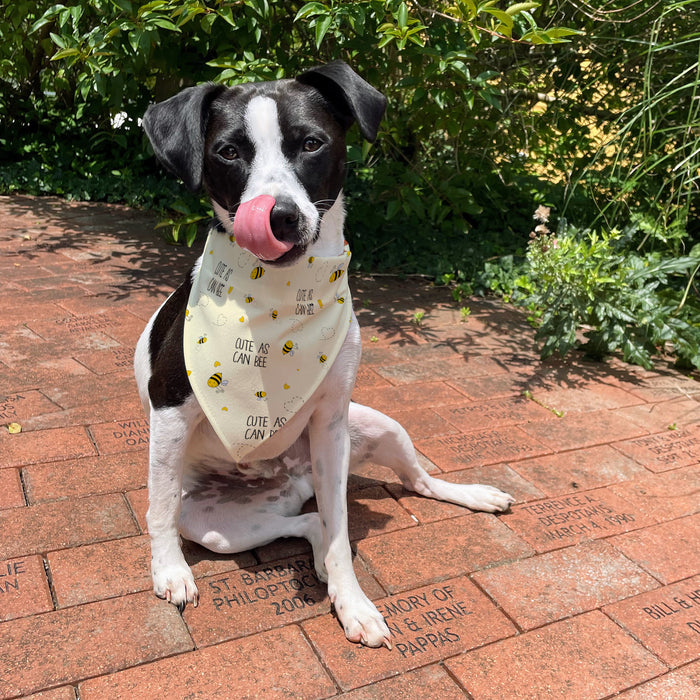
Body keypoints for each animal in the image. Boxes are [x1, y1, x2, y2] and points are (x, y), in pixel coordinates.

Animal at [134, 63, 516, 648]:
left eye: (312, 143)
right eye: (228, 152)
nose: (280, 218)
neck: (276, 310)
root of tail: (290, 477)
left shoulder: (333, 423)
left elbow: (341, 532)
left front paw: (352, 602)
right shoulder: (171, 410)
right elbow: (156, 508)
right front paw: (170, 571)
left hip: (376, 427)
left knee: (410, 485)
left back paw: (471, 495)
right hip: (214, 526)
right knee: (304, 521)